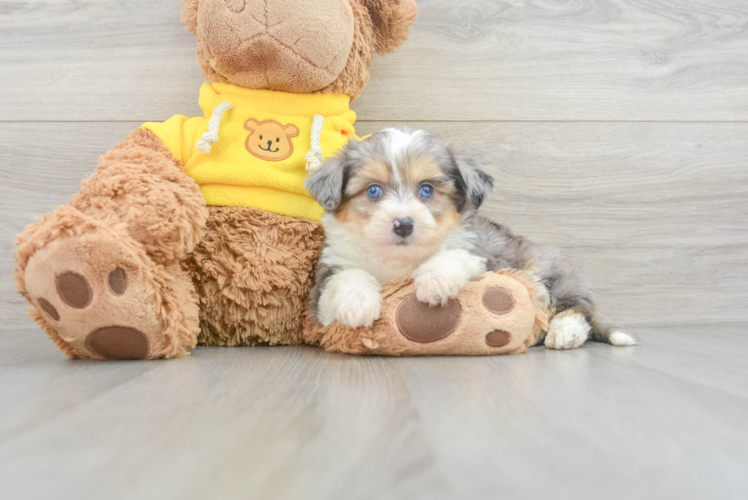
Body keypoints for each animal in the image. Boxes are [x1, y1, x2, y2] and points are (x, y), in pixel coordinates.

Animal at [306, 127, 636, 350]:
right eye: (373, 190)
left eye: (427, 189)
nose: (403, 225)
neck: (401, 258)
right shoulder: (327, 278)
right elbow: (347, 276)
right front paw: (357, 304)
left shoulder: (481, 254)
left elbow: (455, 255)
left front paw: (434, 282)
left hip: (545, 274)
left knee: (575, 310)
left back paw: (563, 334)